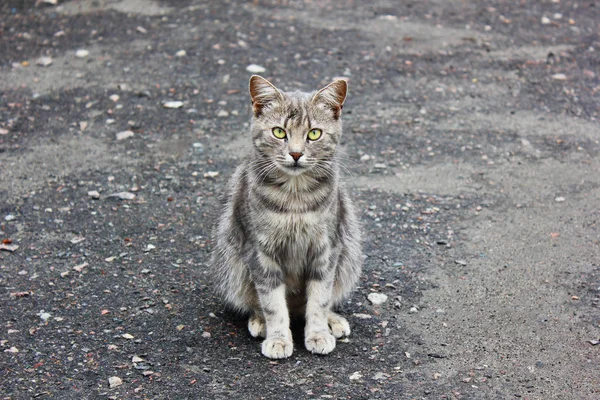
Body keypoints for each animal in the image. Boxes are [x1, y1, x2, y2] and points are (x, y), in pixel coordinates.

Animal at [211, 75, 360, 360]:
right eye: (279, 132)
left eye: (314, 133)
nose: (296, 153)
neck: (295, 198)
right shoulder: (260, 252)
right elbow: (272, 303)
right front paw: (278, 338)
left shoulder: (327, 249)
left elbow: (320, 299)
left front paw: (318, 333)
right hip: (233, 265)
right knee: (257, 303)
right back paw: (260, 322)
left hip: (348, 257)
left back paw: (333, 320)